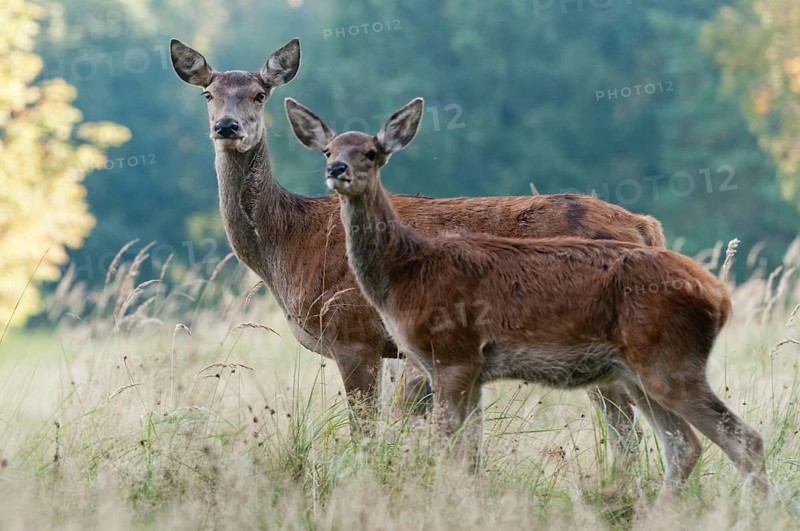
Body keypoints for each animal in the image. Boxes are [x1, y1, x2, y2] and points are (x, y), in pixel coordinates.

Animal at [170, 39, 665, 452]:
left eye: (260, 94)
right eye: (208, 93)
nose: (227, 126)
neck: (288, 246)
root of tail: (645, 226)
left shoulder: (352, 333)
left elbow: (365, 432)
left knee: (627, 427)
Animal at [285, 96, 769, 500]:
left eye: (371, 151)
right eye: (329, 150)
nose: (336, 170)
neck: (406, 269)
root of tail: (721, 297)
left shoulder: (453, 355)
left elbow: (448, 450)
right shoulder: (466, 370)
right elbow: (467, 454)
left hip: (669, 362)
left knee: (740, 439)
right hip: (639, 372)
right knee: (683, 445)